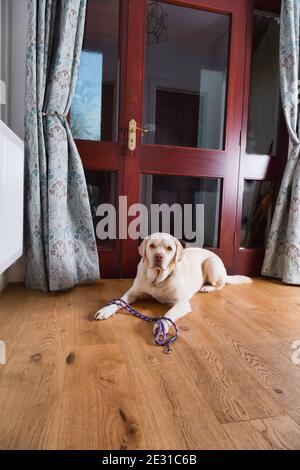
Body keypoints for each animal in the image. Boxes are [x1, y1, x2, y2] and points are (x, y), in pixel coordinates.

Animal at [95, 233, 252, 332]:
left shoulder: (182, 303)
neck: (157, 280)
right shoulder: (132, 292)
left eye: (169, 248)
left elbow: (169, 313)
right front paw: (106, 310)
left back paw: (206, 287)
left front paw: (162, 324)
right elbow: (119, 301)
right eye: (152, 246)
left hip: (211, 264)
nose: (159, 256)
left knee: (221, 284)